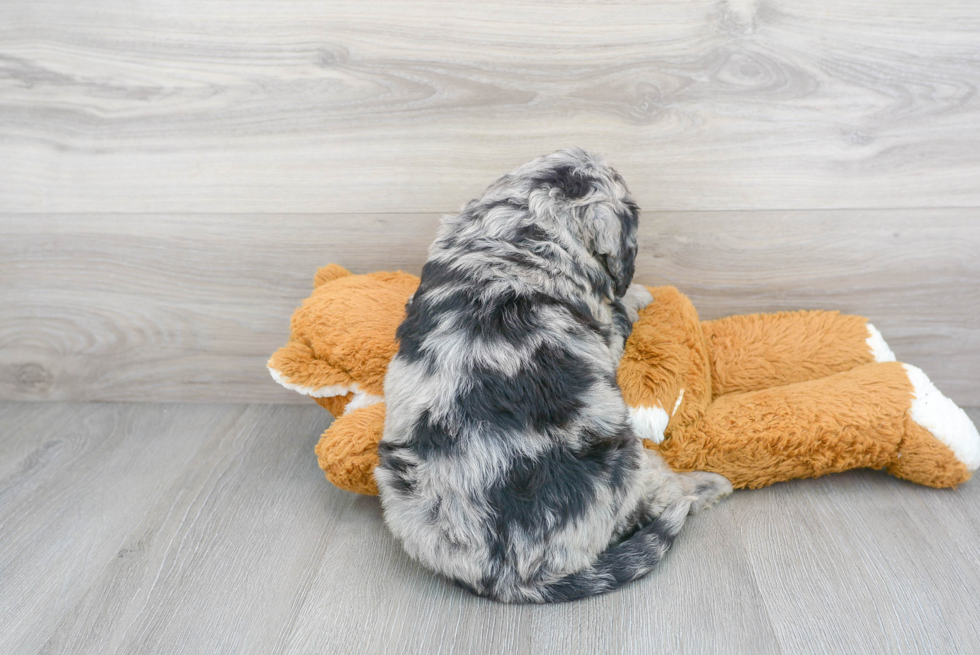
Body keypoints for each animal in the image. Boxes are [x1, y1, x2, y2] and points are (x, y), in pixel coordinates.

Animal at [378, 149, 732, 604]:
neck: (515, 231)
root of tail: (513, 577)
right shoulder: (606, 329)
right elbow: (619, 308)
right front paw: (640, 294)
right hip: (625, 464)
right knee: (659, 497)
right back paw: (709, 485)